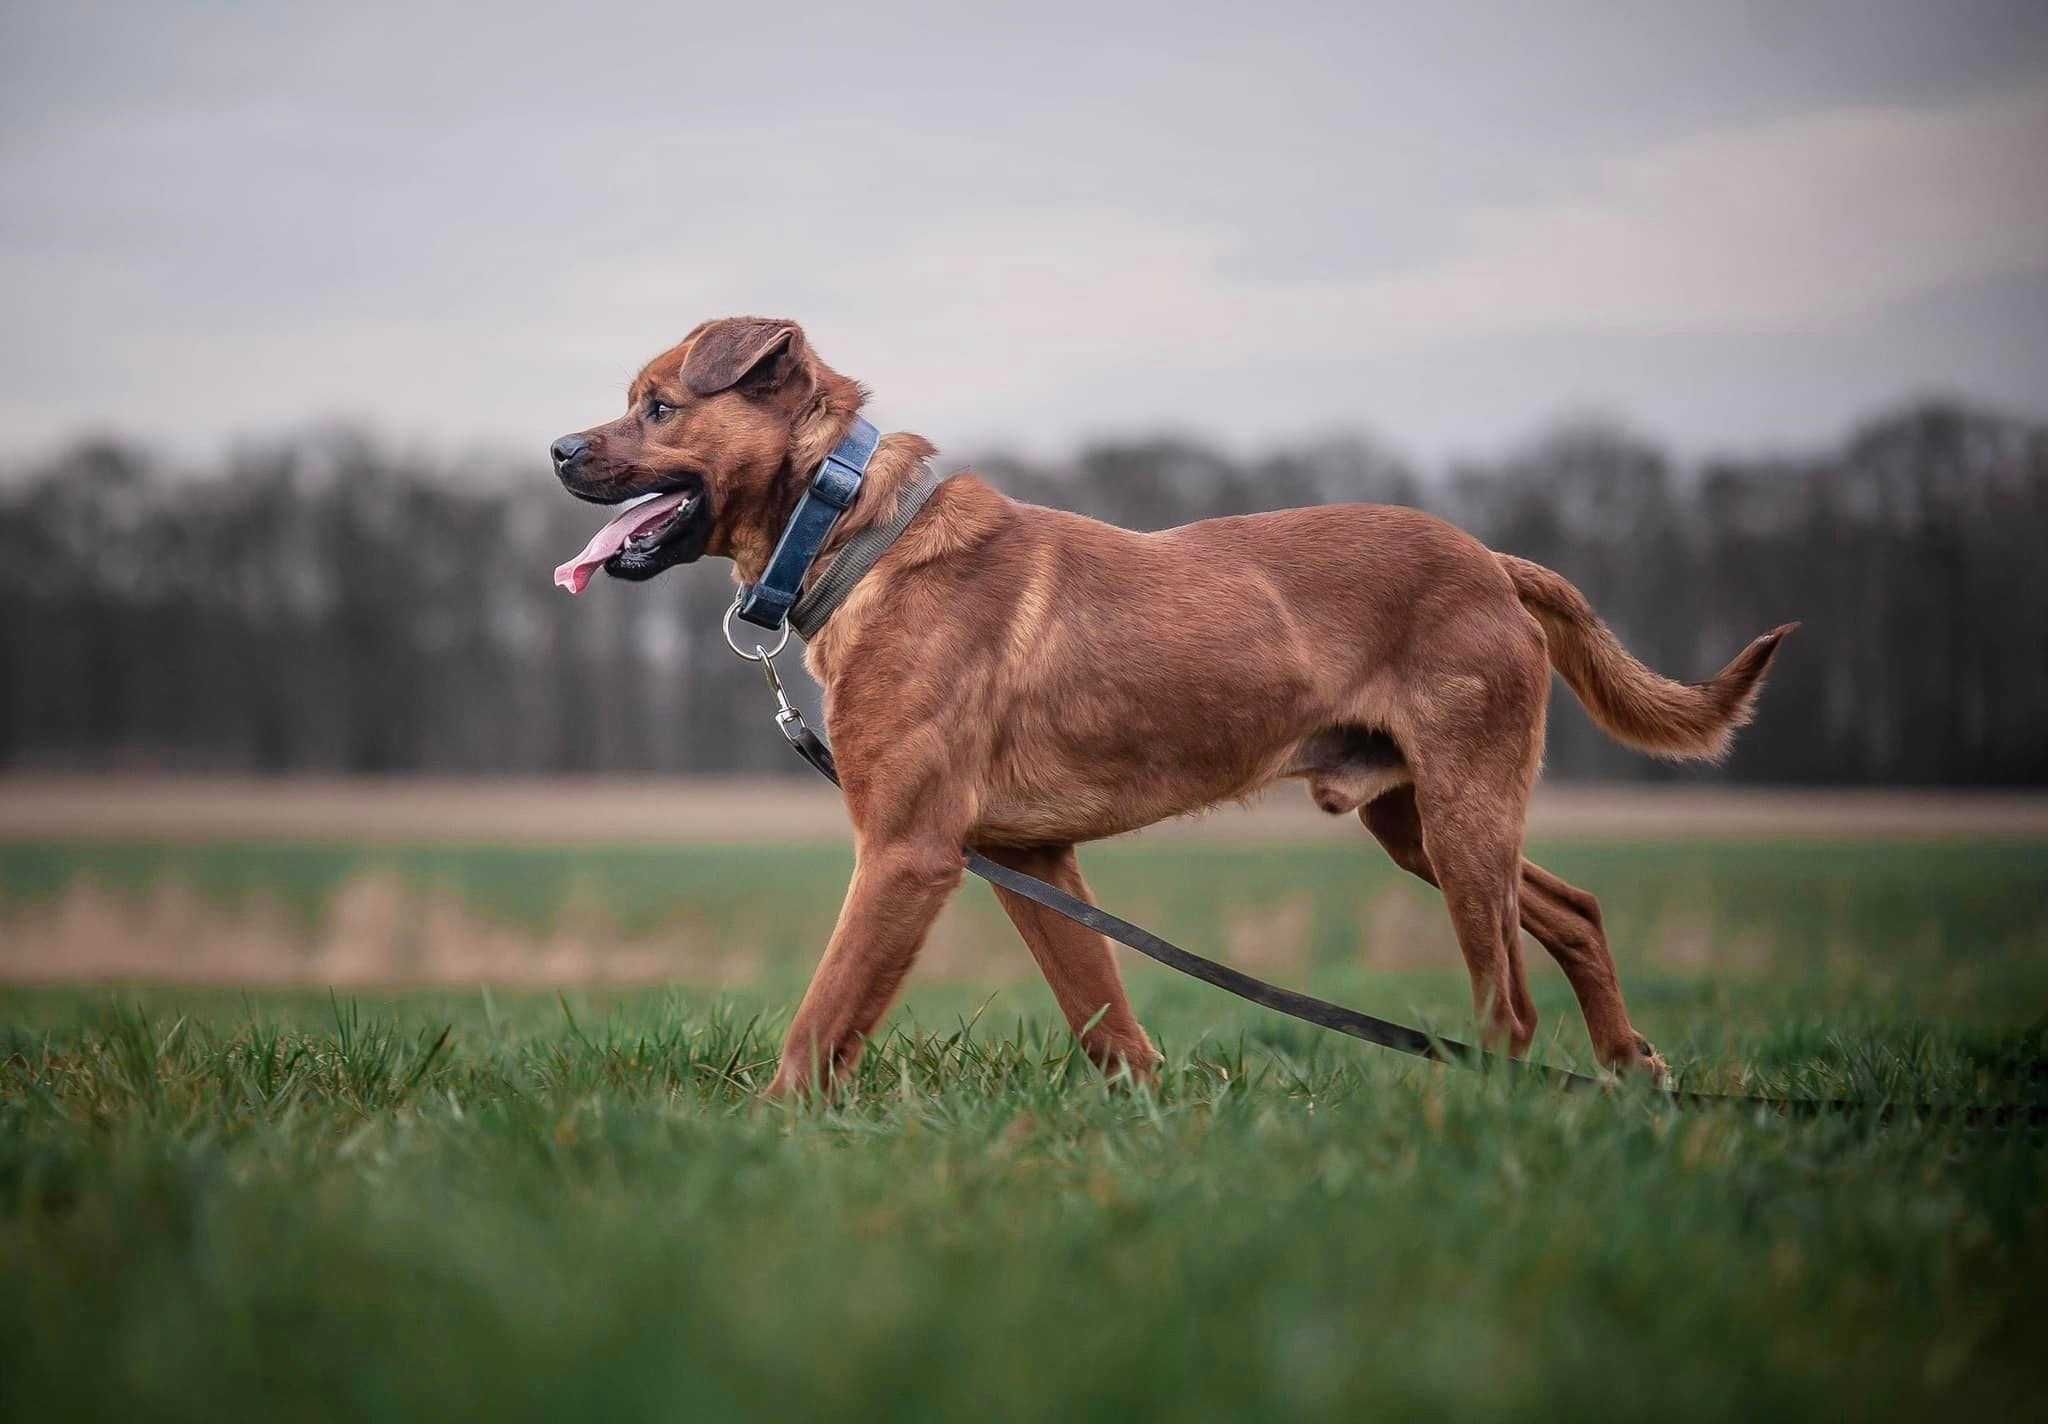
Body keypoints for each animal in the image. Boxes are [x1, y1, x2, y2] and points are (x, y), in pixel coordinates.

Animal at [552, 317, 1785, 1098]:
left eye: (659, 406)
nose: (557, 448)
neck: (849, 528)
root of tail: (1493, 561)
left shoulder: (905, 851)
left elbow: (819, 1024)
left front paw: (765, 1134)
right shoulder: (1028, 855)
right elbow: (1103, 1012)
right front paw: (1149, 1120)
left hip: (1463, 809)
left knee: (1507, 1001)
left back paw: (1487, 1113)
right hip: (1418, 820)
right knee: (1574, 908)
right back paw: (1627, 1068)